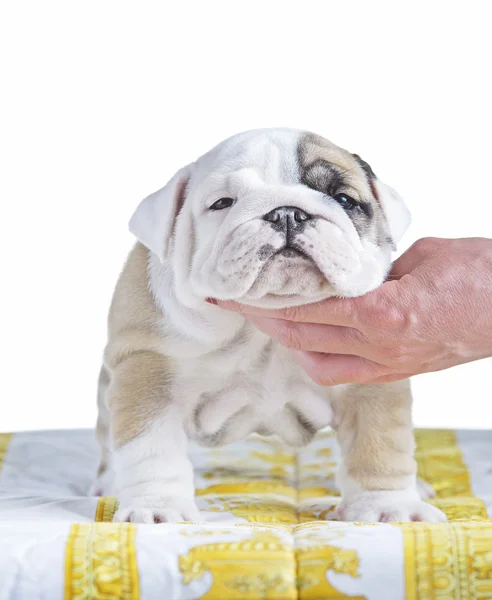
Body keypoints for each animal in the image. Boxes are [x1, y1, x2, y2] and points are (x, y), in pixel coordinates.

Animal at [94, 129, 448, 524]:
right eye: (223, 203)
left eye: (345, 199)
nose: (287, 213)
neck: (262, 328)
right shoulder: (150, 371)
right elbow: (152, 448)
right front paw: (157, 508)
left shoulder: (372, 377)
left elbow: (380, 443)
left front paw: (389, 506)